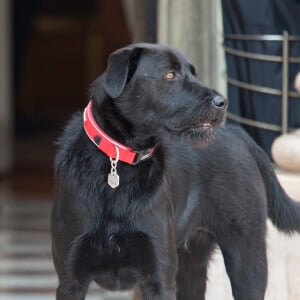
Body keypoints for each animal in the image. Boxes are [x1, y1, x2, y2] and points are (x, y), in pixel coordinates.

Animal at [51, 42, 300, 300]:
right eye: (170, 75)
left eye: (193, 73)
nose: (222, 101)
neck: (118, 161)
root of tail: (236, 132)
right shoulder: (71, 279)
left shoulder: (160, 277)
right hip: (192, 267)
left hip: (247, 257)